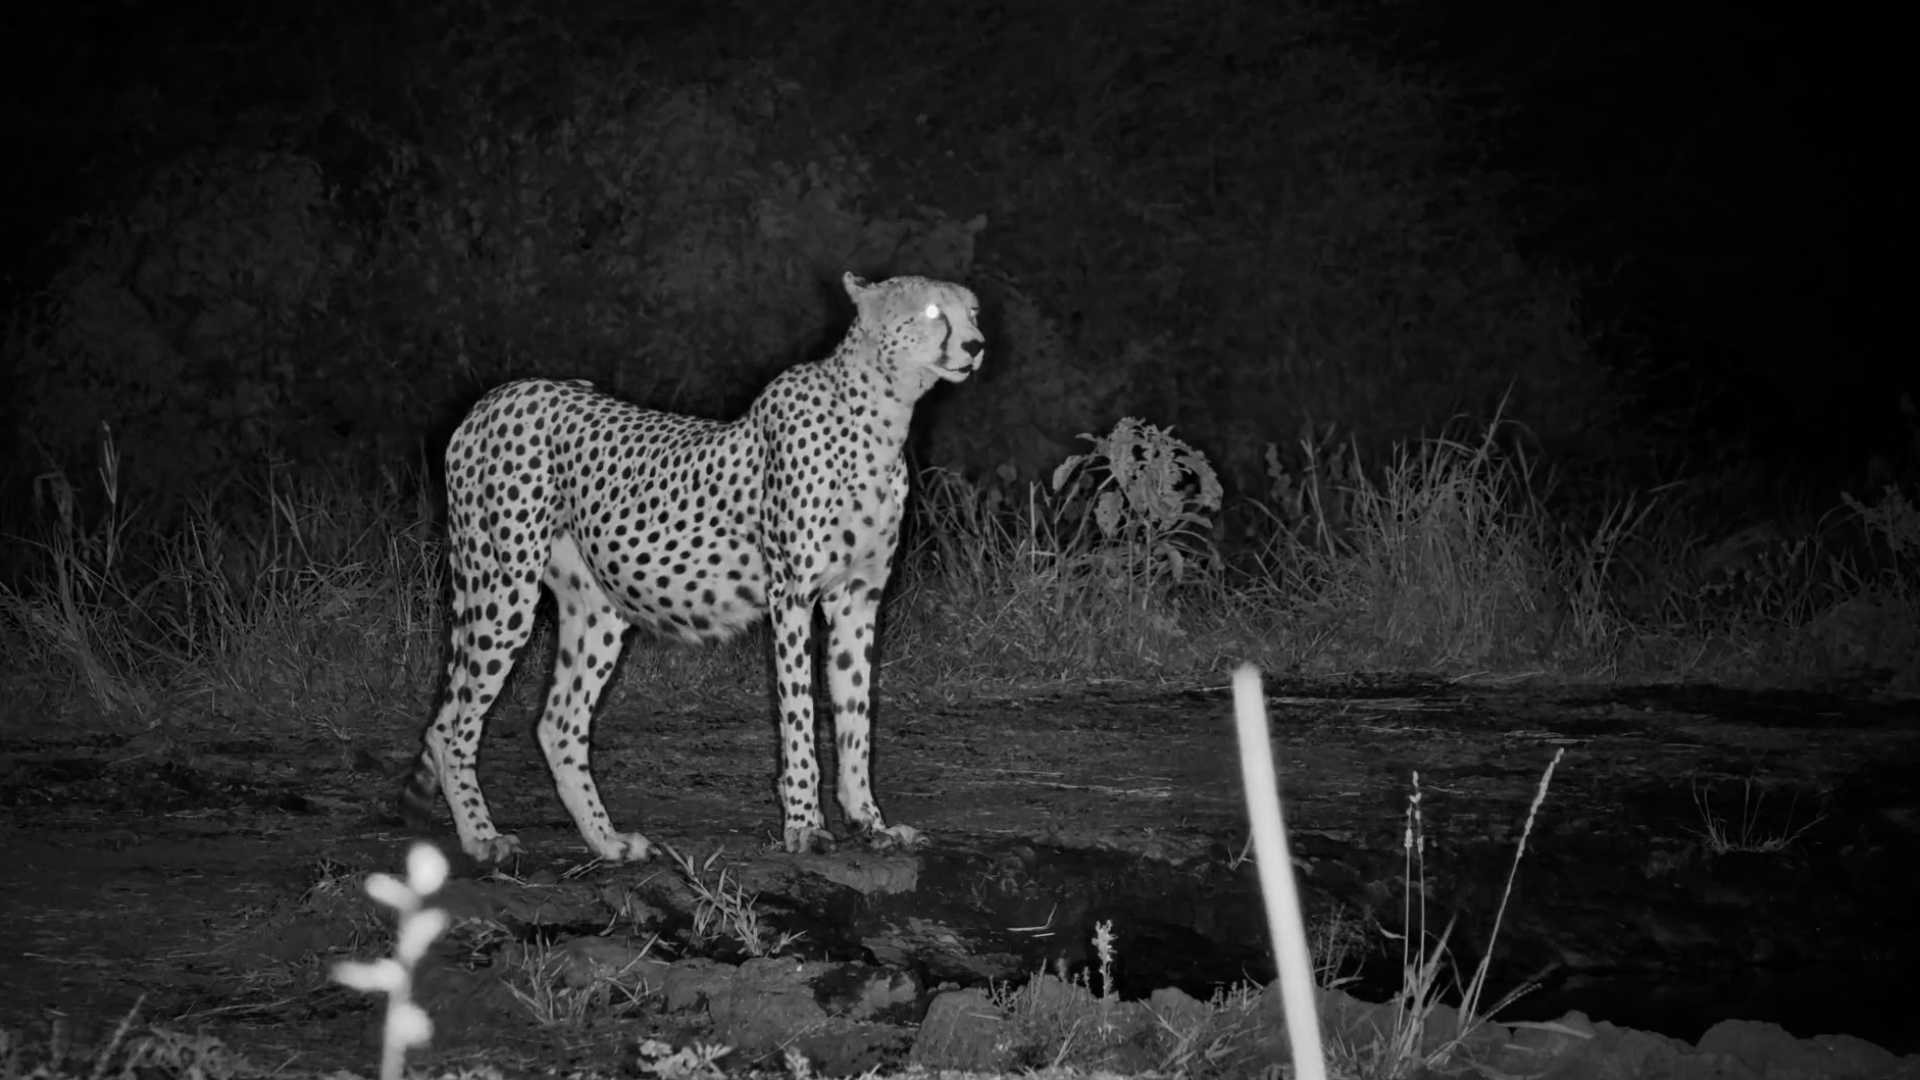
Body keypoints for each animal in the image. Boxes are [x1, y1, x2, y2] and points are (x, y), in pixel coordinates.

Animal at [397, 272, 984, 862]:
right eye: (933, 312)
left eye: (972, 311)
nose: (977, 345)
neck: (884, 414)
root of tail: (497, 397)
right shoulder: (792, 596)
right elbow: (799, 713)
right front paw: (803, 824)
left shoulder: (859, 599)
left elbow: (855, 715)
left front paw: (869, 822)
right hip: (502, 585)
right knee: (455, 726)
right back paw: (481, 837)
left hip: (597, 606)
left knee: (557, 722)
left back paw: (607, 842)